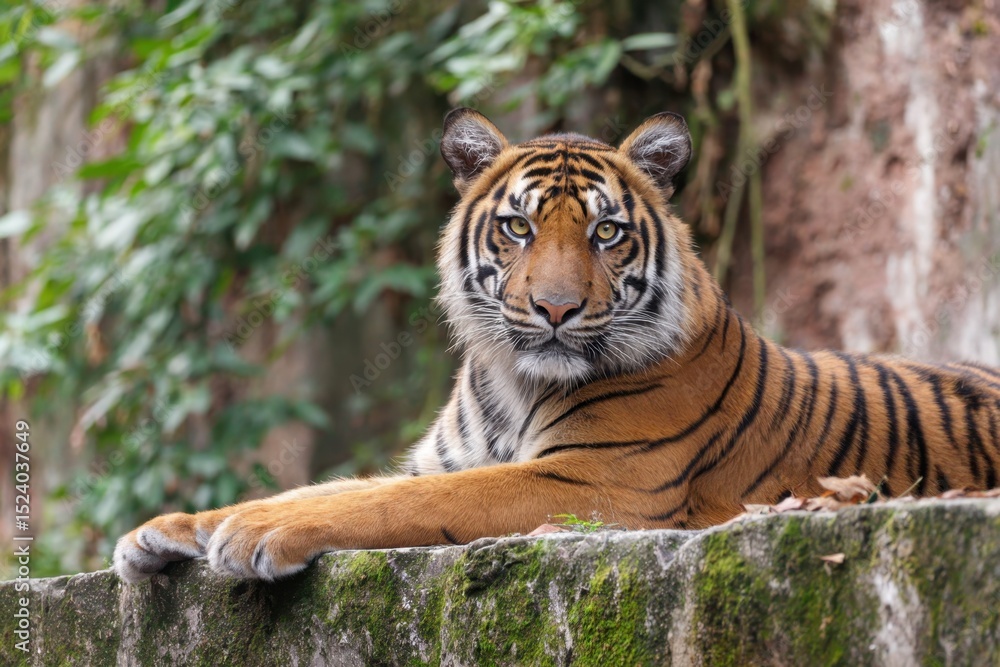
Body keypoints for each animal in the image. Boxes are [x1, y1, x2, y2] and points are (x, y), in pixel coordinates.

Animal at [114, 108, 1000, 583]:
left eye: (607, 233)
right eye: (518, 226)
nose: (555, 309)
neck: (513, 379)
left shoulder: (594, 479)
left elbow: (384, 504)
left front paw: (254, 533)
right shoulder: (442, 459)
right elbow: (332, 486)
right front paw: (163, 530)